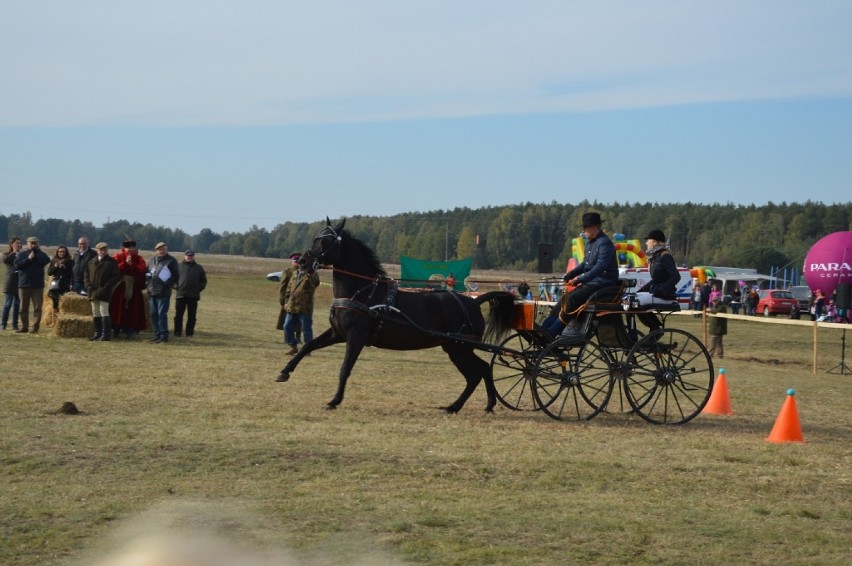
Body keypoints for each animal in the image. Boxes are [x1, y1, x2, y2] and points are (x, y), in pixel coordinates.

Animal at [276, 220, 516, 414]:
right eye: (316, 238)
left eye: (327, 242)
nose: (303, 262)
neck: (363, 291)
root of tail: (473, 301)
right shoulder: (338, 333)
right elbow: (308, 346)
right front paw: (284, 373)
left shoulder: (356, 337)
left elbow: (345, 368)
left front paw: (335, 400)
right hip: (455, 347)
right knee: (482, 369)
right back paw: (484, 404)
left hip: (459, 348)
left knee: (475, 373)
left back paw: (455, 406)